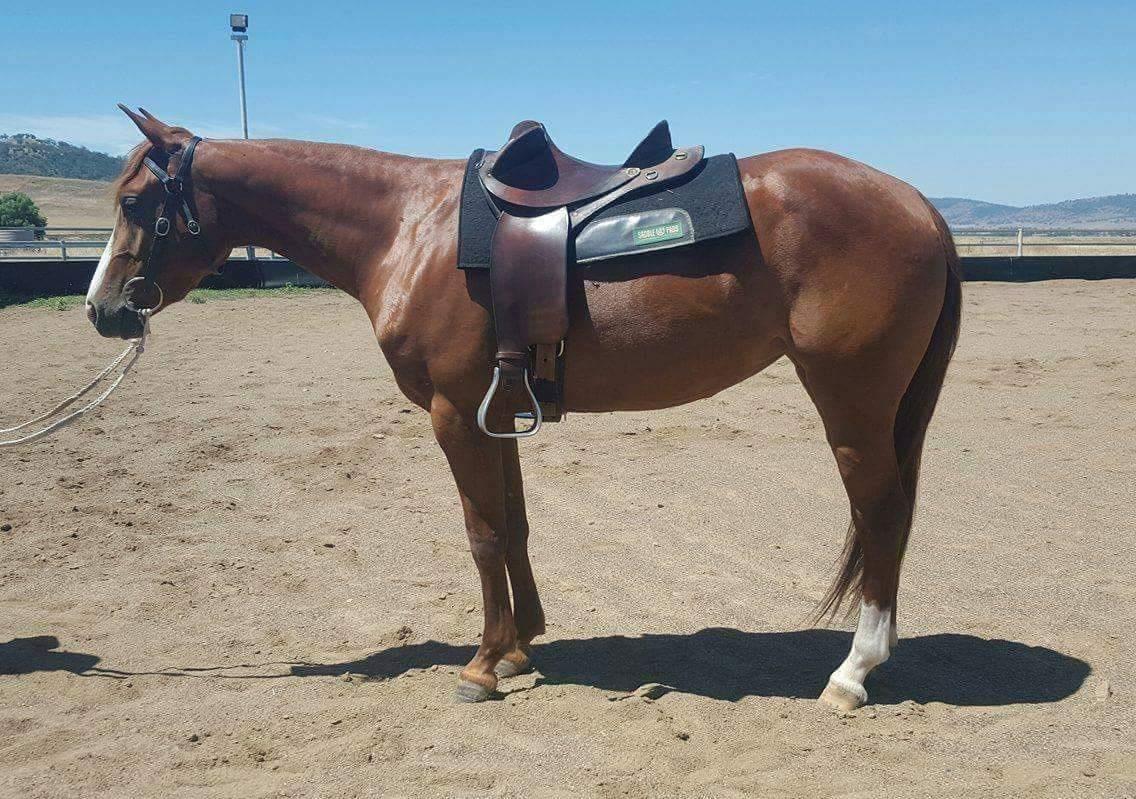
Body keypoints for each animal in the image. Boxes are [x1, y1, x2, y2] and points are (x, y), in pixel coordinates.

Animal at [85, 106, 961, 710]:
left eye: (135, 200)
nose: (102, 310)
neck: (408, 228)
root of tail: (920, 204)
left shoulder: (451, 413)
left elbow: (480, 535)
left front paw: (480, 665)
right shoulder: (495, 410)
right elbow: (513, 524)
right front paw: (518, 647)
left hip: (851, 403)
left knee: (881, 516)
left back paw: (852, 673)